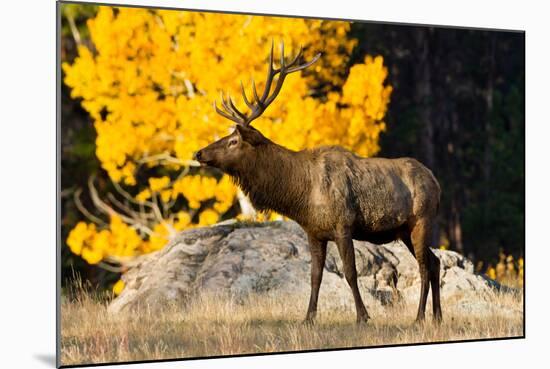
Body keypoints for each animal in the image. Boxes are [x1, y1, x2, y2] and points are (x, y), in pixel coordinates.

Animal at [196, 42, 446, 322]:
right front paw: (308, 318)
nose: (199, 153)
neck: (301, 196)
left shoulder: (343, 225)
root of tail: (436, 182)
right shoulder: (314, 232)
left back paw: (420, 317)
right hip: (403, 230)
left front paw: (363, 316)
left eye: (233, 141)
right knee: (435, 262)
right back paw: (437, 317)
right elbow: (315, 276)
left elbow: (350, 273)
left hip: (421, 220)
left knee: (424, 266)